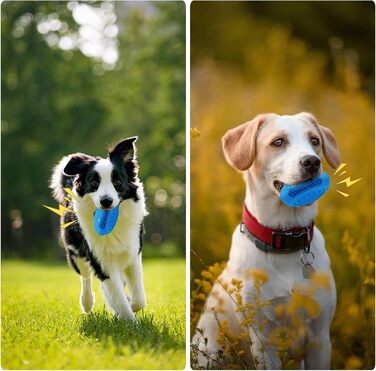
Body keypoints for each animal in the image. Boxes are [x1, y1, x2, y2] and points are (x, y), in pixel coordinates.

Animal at [50, 138, 148, 322]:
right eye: (94, 183)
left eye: (118, 182)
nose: (106, 201)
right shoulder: (101, 261)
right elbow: (118, 297)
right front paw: (130, 321)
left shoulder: (133, 252)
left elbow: (139, 297)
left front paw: (129, 305)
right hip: (75, 253)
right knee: (85, 277)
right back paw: (87, 303)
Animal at [194, 112, 340, 370]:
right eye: (278, 142)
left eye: (315, 141)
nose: (312, 162)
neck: (286, 240)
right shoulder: (264, 339)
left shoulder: (320, 336)